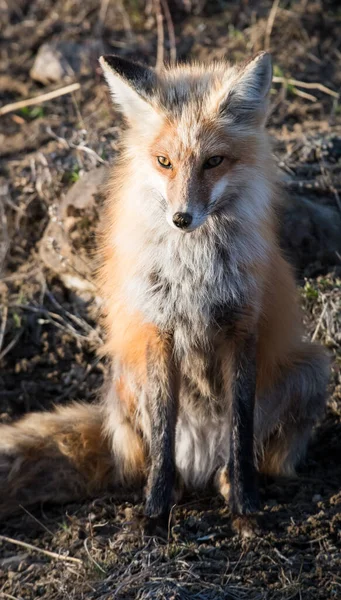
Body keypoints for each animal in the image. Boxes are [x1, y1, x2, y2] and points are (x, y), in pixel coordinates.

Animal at [0, 54, 330, 536]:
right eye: (164, 162)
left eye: (214, 161)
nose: (181, 218)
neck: (194, 271)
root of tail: (200, 463)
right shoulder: (158, 329)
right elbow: (162, 433)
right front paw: (154, 513)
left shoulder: (241, 325)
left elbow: (241, 425)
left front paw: (246, 507)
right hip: (127, 375)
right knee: (153, 457)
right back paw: (171, 489)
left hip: (313, 368)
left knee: (246, 457)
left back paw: (231, 482)